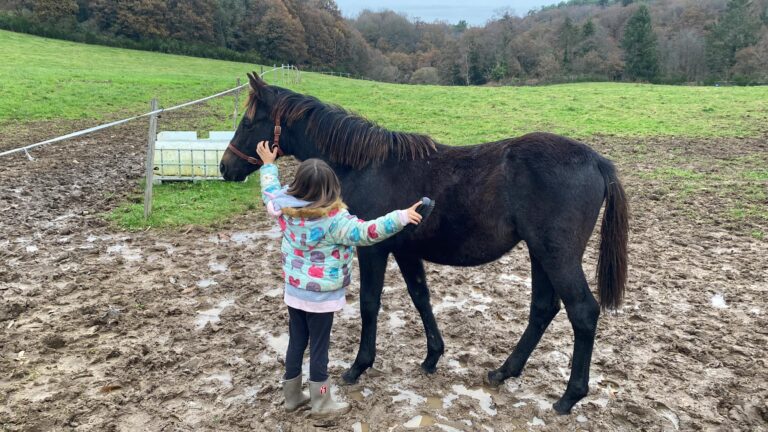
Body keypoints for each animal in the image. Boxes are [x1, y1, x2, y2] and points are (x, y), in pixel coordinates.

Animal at [219, 74, 628, 416]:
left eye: (248, 123)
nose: (225, 168)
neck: (365, 166)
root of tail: (597, 161)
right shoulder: (405, 251)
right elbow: (421, 298)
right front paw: (433, 357)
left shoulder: (373, 249)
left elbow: (370, 304)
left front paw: (358, 366)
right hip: (540, 253)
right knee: (543, 309)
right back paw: (503, 372)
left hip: (557, 256)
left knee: (582, 312)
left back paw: (569, 396)